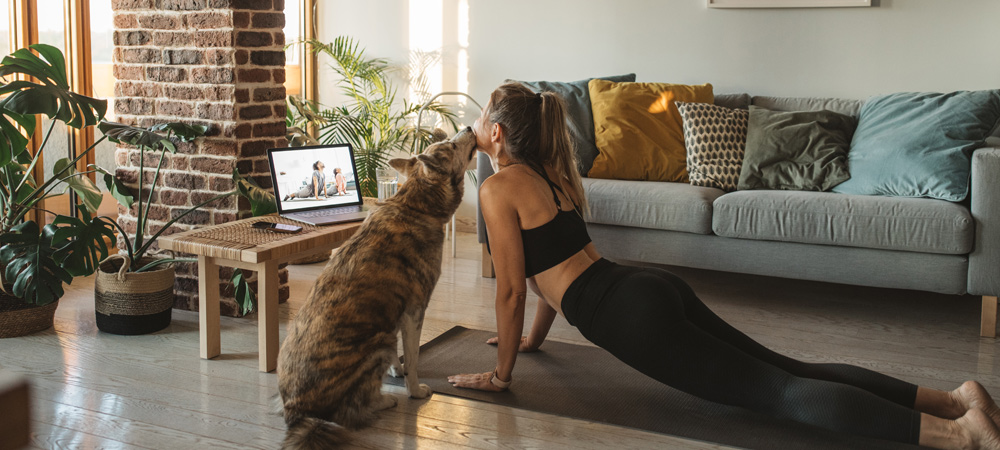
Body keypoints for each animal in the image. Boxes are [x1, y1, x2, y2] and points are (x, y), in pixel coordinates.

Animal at [274, 127, 476, 450]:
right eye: (453, 146)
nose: (469, 128)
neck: (414, 205)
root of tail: (297, 412)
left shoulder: (393, 315)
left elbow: (400, 355)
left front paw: (395, 370)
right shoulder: (414, 310)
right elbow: (413, 360)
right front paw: (414, 390)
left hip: (380, 337)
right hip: (375, 345)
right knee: (348, 412)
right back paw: (383, 402)